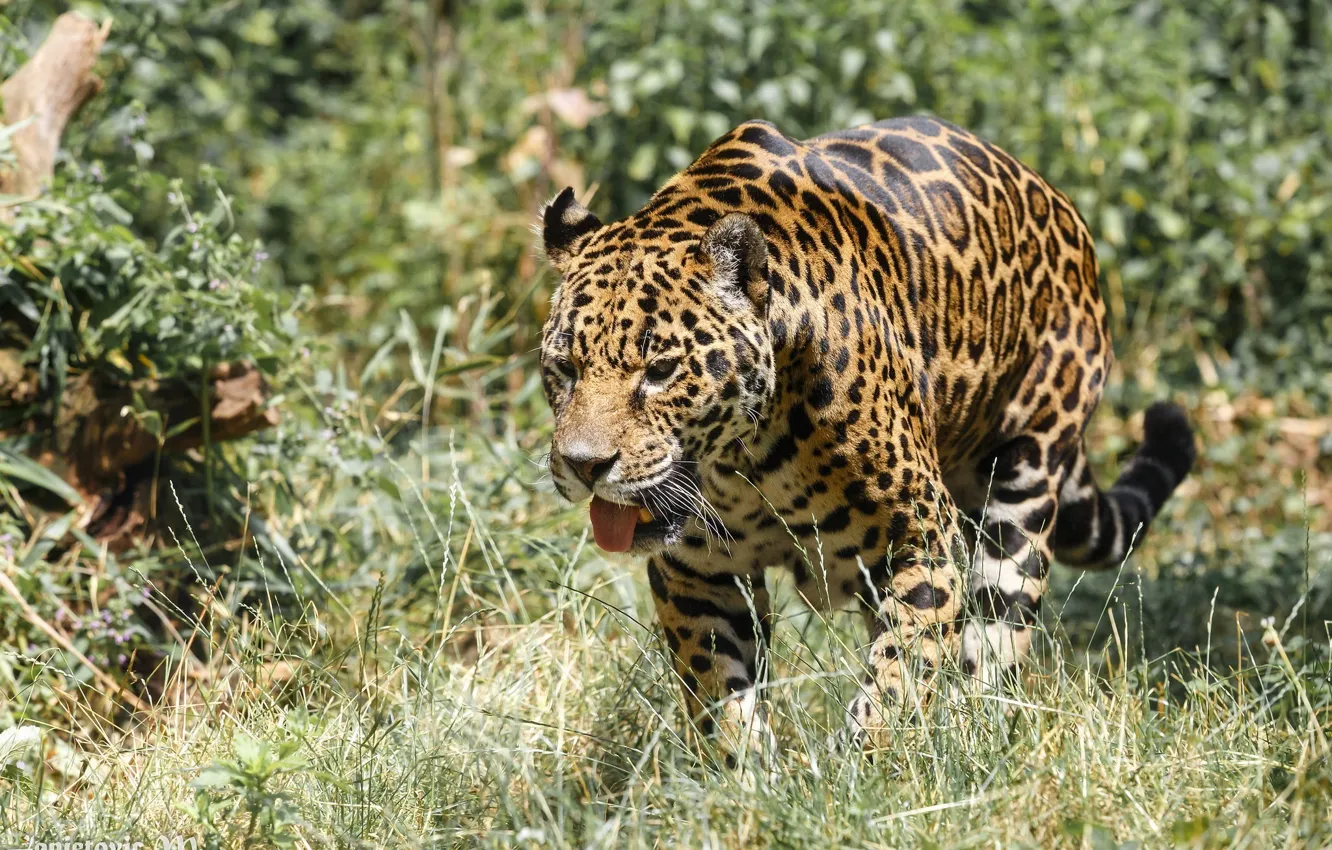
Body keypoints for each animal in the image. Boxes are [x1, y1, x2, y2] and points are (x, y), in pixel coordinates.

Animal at [537, 116, 1196, 751]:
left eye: (660, 371)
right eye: (565, 367)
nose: (584, 465)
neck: (744, 462)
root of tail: (1060, 207)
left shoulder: (921, 538)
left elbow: (901, 677)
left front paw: (861, 768)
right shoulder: (698, 573)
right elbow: (720, 700)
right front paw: (751, 776)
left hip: (1026, 480)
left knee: (994, 636)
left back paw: (971, 732)